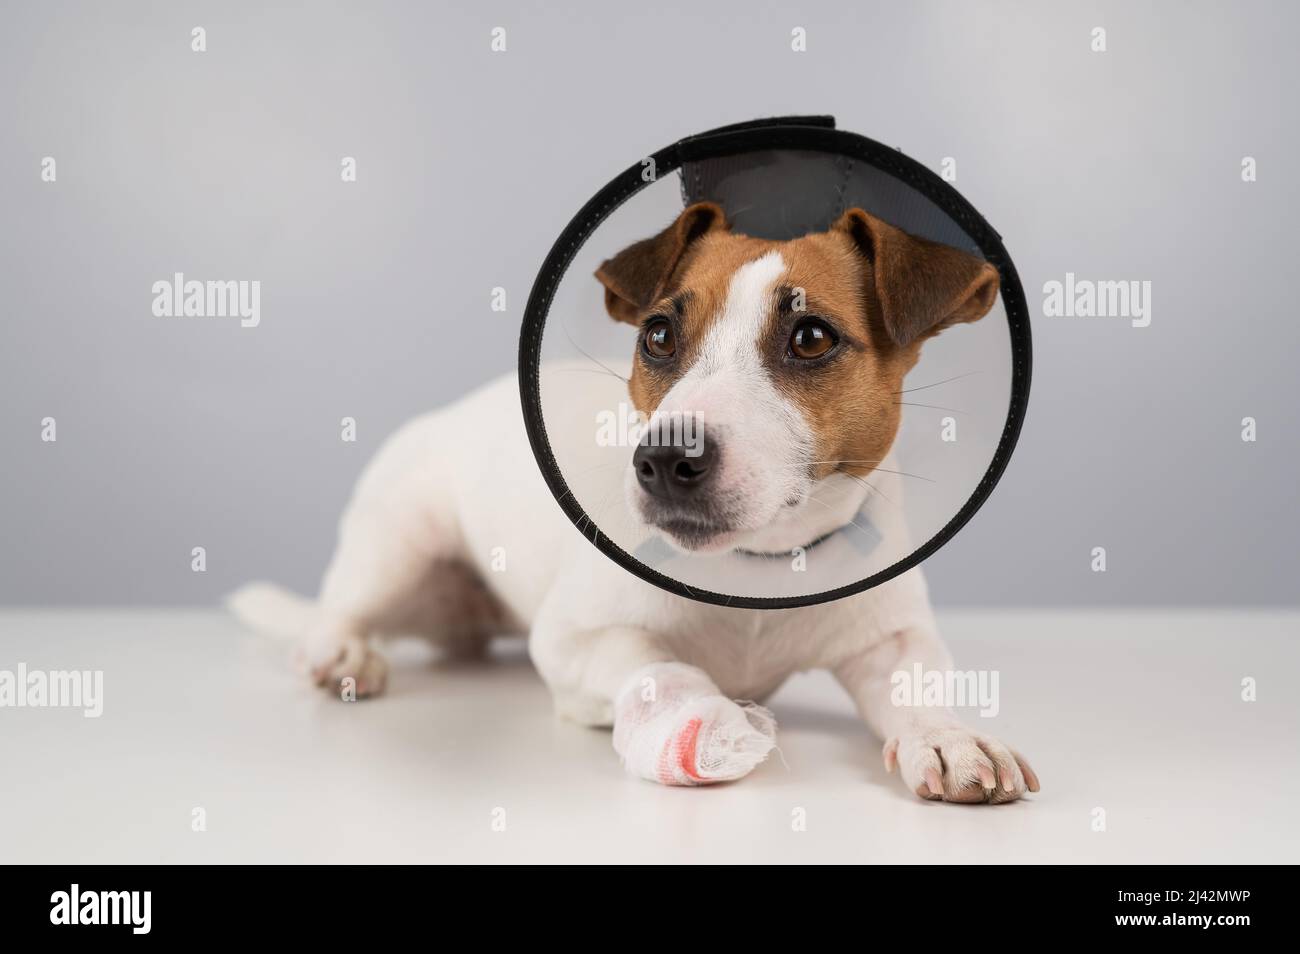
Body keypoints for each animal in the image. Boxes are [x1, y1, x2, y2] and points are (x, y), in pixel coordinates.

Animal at [228, 204, 1040, 805]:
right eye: (658, 334)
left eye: (811, 336)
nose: (664, 460)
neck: (758, 566)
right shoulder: (574, 639)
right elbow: (661, 665)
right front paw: (704, 726)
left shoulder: (891, 639)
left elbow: (920, 686)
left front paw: (950, 736)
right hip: (398, 546)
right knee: (336, 612)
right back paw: (340, 652)